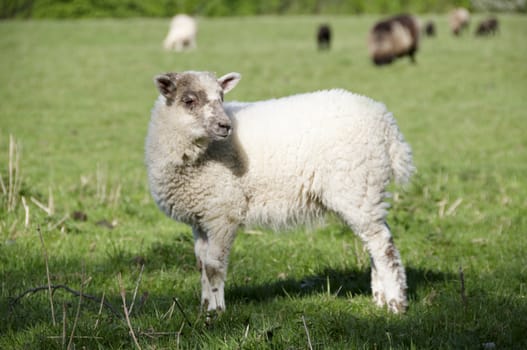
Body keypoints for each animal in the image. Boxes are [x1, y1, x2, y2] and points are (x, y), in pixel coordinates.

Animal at [145, 69, 416, 314]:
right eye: (189, 100)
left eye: (221, 97)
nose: (225, 126)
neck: (199, 154)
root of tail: (385, 121)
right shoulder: (200, 217)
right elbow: (201, 264)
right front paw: (204, 308)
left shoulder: (223, 212)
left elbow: (214, 266)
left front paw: (217, 311)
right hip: (366, 191)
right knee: (376, 240)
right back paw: (380, 298)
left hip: (357, 185)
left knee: (382, 245)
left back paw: (396, 304)